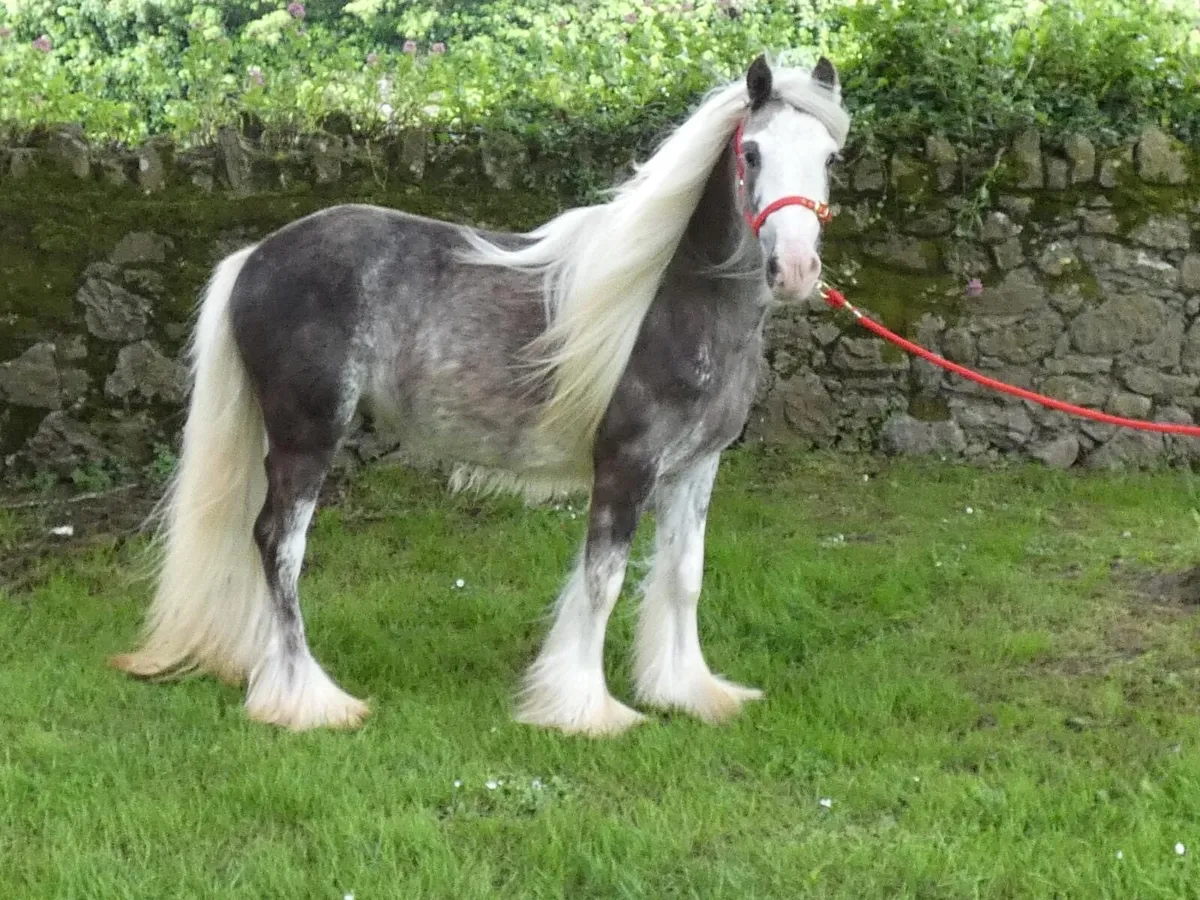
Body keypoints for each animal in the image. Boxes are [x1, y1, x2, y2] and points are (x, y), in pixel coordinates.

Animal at [110, 54, 851, 737]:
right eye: (752, 153)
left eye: (828, 157)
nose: (794, 269)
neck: (669, 301)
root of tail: (257, 256)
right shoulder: (625, 466)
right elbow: (602, 581)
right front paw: (585, 710)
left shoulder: (696, 468)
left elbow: (684, 576)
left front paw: (689, 692)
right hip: (306, 435)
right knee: (279, 546)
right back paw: (309, 700)